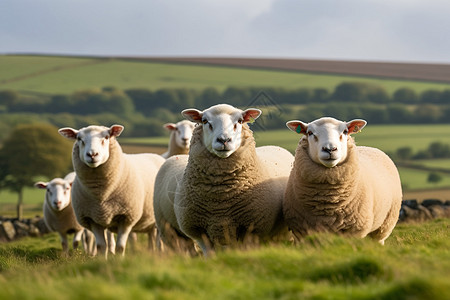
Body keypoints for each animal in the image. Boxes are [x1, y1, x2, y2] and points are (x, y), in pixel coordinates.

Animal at [58, 124, 165, 258]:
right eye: (79, 138)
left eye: (106, 137)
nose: (92, 154)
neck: (101, 196)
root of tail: (155, 155)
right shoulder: (93, 219)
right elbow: (101, 246)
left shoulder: (126, 217)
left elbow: (120, 247)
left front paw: (119, 260)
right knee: (151, 236)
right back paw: (152, 252)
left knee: (160, 239)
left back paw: (161, 253)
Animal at [170, 104, 296, 254]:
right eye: (205, 121)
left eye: (240, 121)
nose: (224, 140)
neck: (220, 201)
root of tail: (275, 146)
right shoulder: (199, 233)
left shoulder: (250, 229)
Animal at [284, 116, 402, 245]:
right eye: (310, 132)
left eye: (345, 131)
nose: (330, 149)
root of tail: (369, 147)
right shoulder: (301, 230)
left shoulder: (354, 231)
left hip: (385, 224)